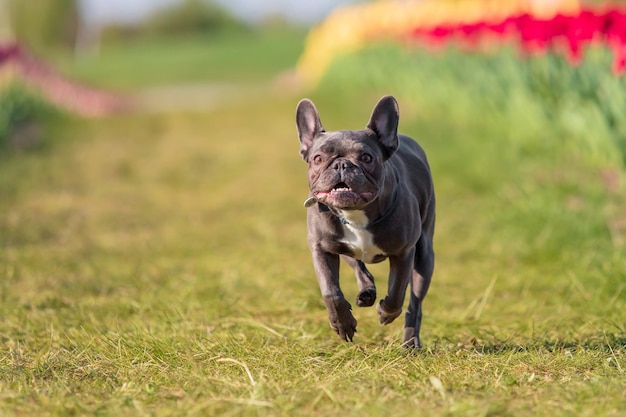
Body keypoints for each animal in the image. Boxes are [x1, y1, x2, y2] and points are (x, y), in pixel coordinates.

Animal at [294, 95, 432, 348]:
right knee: (360, 268)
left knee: (414, 303)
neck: (356, 214)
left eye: (366, 158)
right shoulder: (321, 249)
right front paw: (343, 324)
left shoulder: (404, 253)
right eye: (318, 159)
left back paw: (410, 343)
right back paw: (366, 294)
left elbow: (397, 292)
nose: (341, 164)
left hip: (425, 254)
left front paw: (386, 312)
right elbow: (331, 291)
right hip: (345, 250)